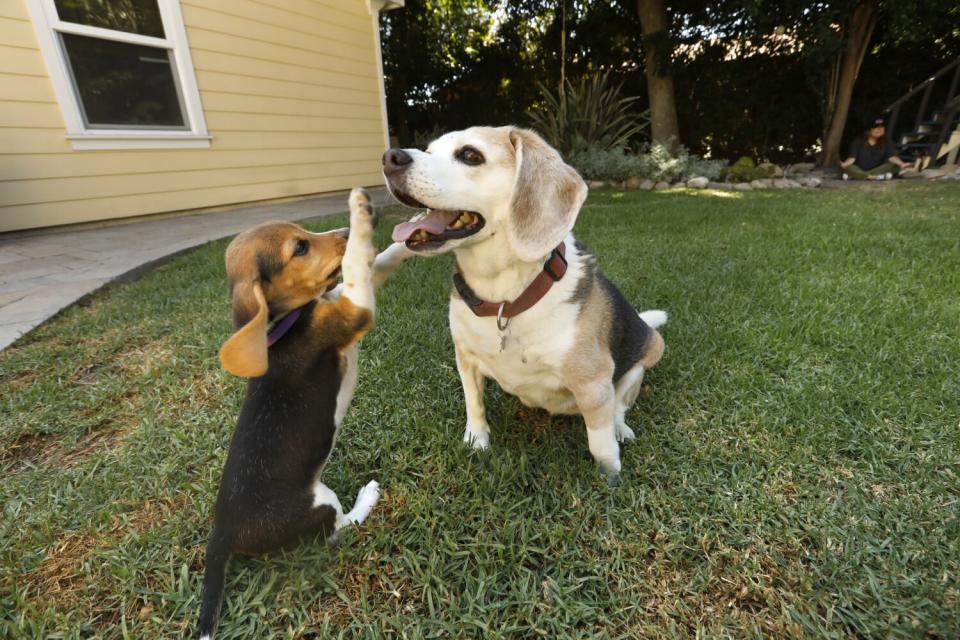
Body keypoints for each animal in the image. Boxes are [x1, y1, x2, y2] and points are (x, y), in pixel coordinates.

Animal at [199, 190, 412, 640]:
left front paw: (407, 239)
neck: (285, 323)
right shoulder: (352, 310)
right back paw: (366, 499)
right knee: (338, 531)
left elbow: (376, 263)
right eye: (299, 247)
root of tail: (221, 532)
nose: (345, 230)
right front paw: (359, 212)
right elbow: (357, 264)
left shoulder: (342, 297)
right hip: (319, 500)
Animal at [382, 125, 668, 478]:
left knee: (620, 406)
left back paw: (620, 429)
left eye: (470, 155)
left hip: (647, 355)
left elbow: (599, 441)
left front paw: (610, 474)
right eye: (430, 150)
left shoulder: (593, 383)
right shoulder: (465, 357)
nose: (389, 157)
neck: (505, 299)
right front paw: (477, 441)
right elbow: (474, 404)